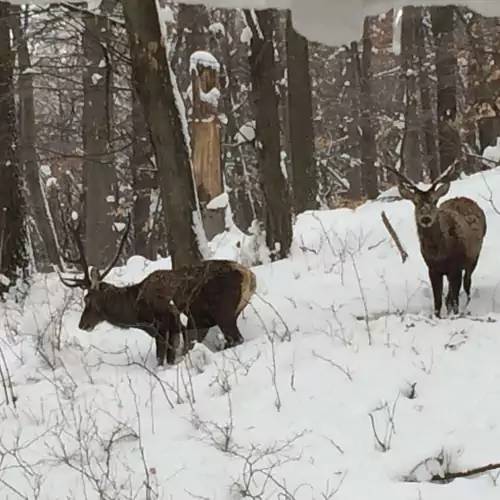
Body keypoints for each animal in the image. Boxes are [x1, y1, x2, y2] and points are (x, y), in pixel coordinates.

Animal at [59, 213, 258, 366]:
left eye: (88, 299)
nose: (82, 324)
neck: (135, 310)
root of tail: (249, 276)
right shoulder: (181, 327)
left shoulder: (162, 325)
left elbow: (162, 358)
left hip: (223, 311)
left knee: (236, 338)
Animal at [384, 162, 486, 318]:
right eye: (416, 202)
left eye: (434, 201)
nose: (426, 219)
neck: (439, 254)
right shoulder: (432, 268)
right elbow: (438, 300)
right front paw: (438, 316)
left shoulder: (455, 267)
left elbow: (455, 299)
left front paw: (455, 314)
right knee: (450, 294)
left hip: (474, 256)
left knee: (467, 283)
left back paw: (467, 304)